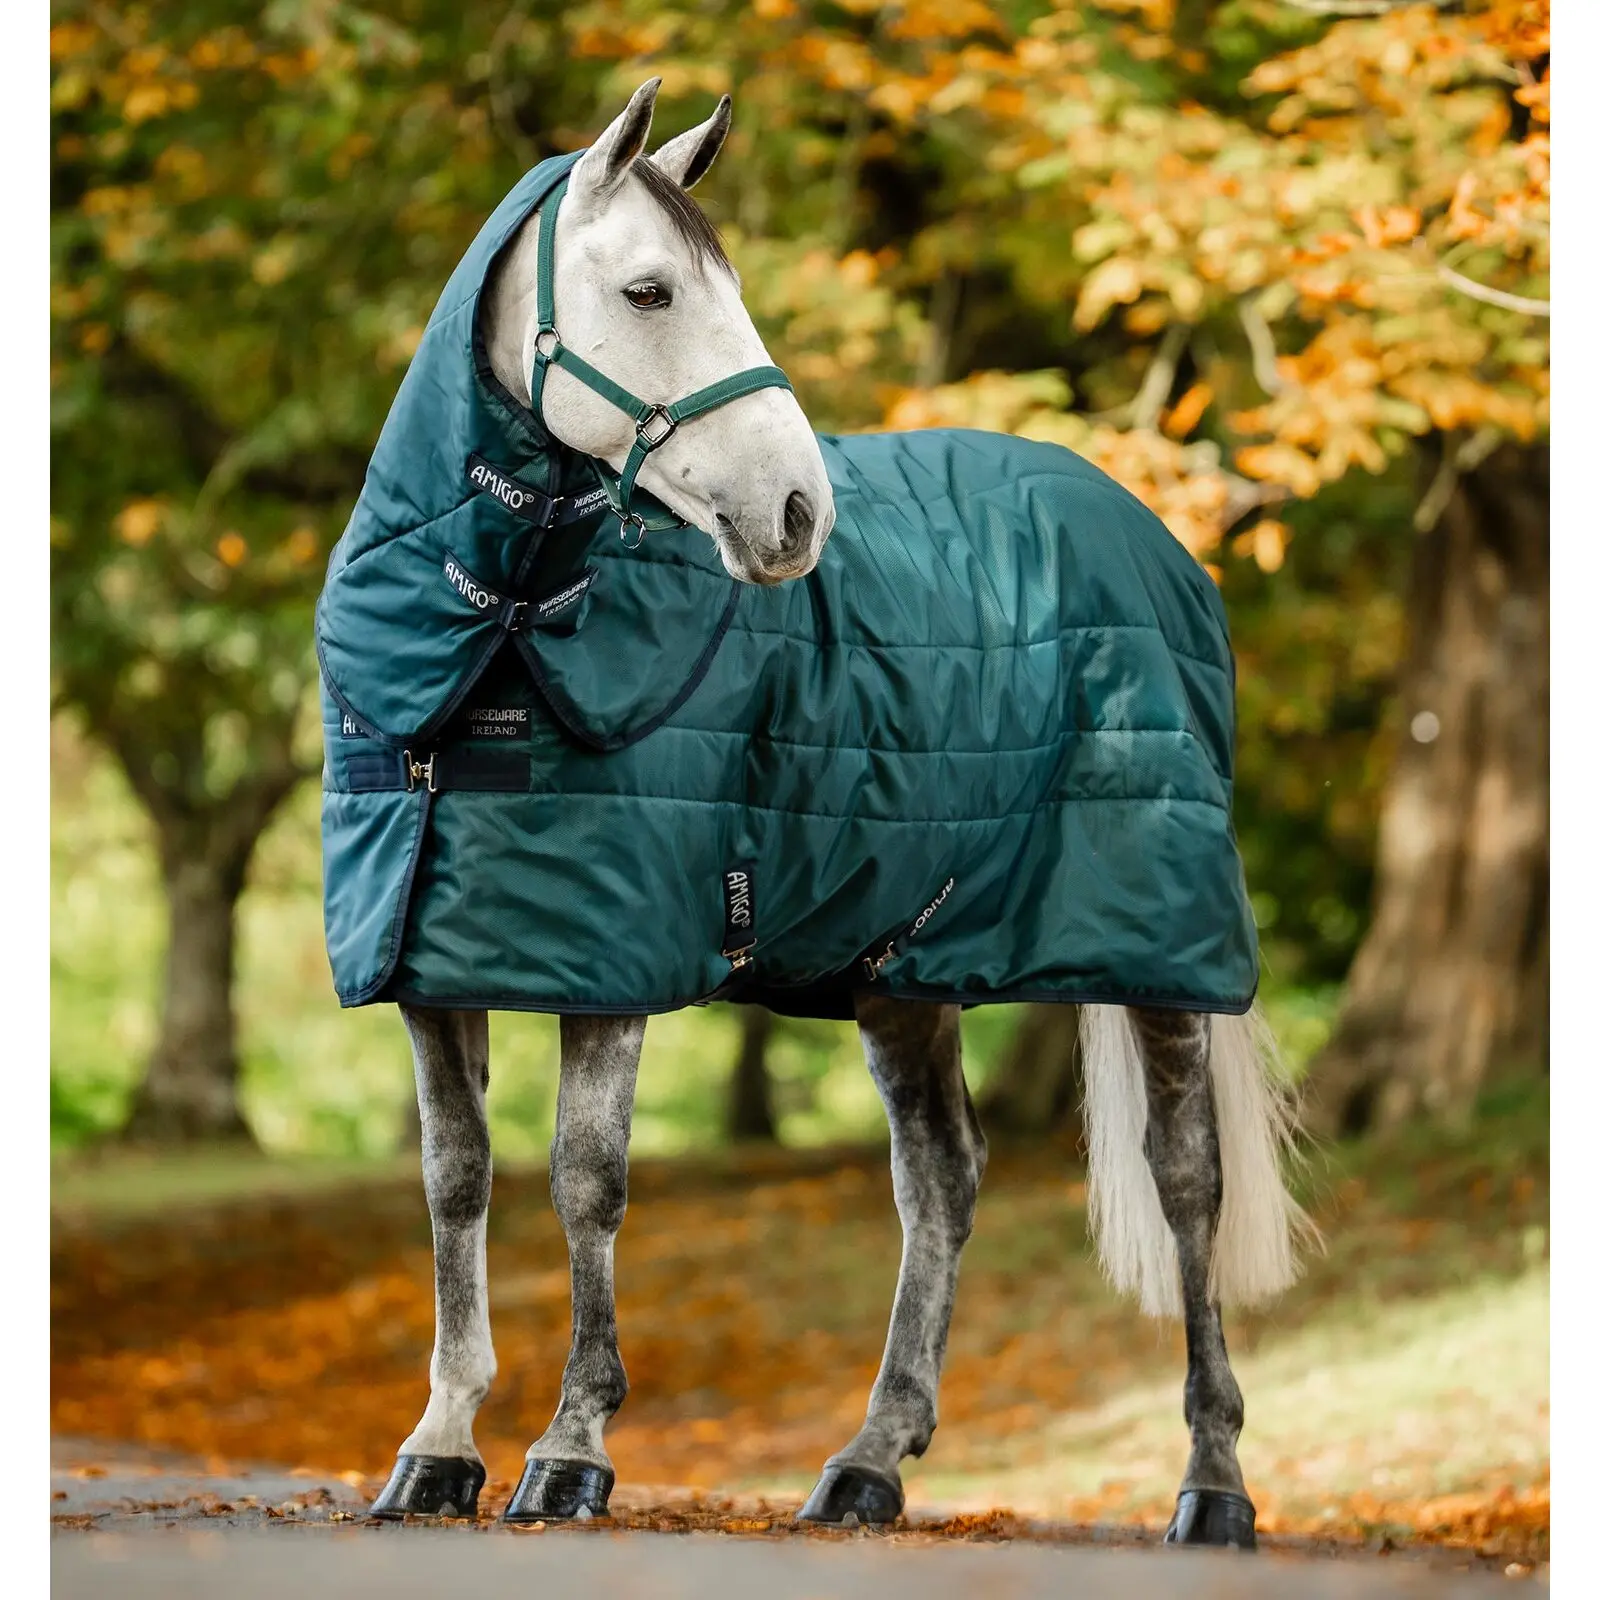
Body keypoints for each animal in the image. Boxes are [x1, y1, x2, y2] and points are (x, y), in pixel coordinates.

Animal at [327, 80, 1308, 1548]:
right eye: (652, 288)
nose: (798, 513)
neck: (496, 641)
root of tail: (1149, 538)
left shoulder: (610, 962)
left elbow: (584, 1179)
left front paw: (571, 1452)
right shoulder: (436, 966)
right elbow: (459, 1182)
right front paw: (437, 1449)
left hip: (1158, 950)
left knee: (1186, 1181)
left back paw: (1213, 1486)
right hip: (905, 963)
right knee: (942, 1180)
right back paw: (868, 1465)